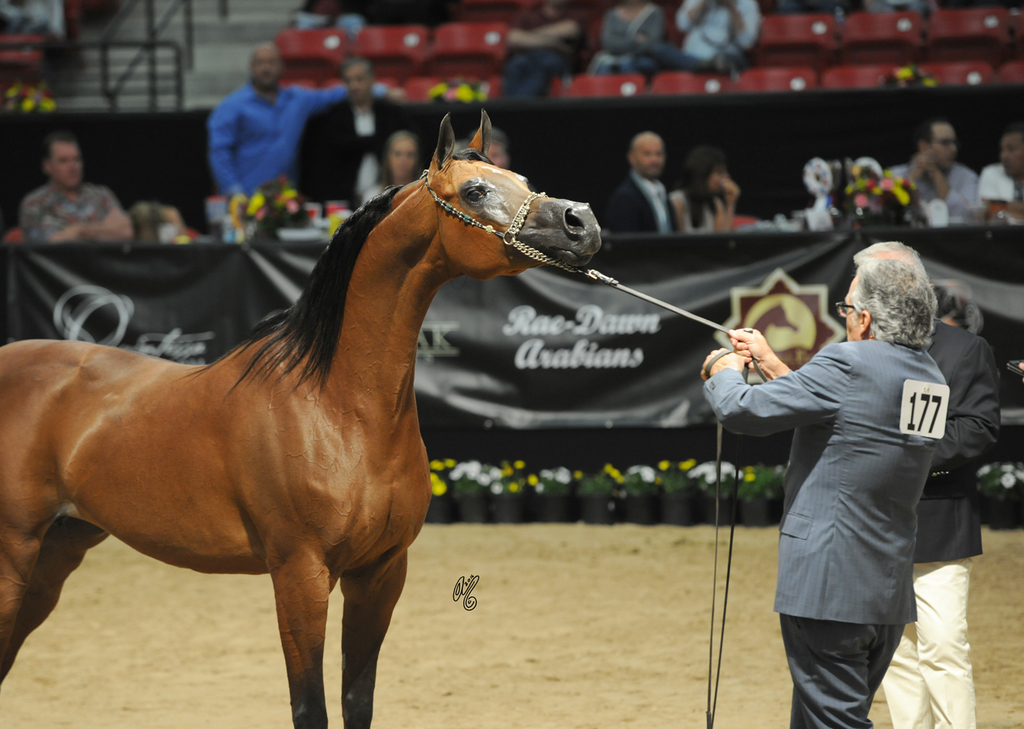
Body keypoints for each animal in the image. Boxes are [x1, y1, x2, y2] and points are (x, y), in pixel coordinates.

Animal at [0, 111, 601, 728]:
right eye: (476, 190)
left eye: (522, 178)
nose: (582, 222)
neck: (337, 410)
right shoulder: (300, 576)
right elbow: (310, 705)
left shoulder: (380, 574)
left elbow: (357, 700)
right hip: (14, 559)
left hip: (56, 554)